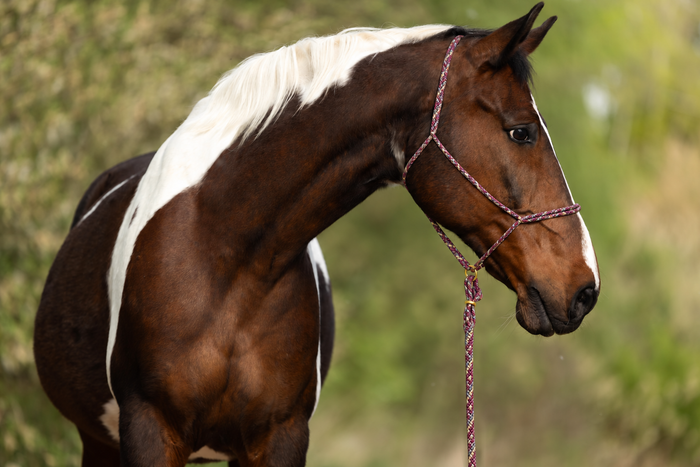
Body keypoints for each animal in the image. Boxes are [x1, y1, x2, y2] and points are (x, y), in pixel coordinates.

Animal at [34, 3, 600, 466]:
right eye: (521, 131)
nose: (585, 288)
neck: (225, 259)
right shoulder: (149, 431)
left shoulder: (280, 438)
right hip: (98, 442)